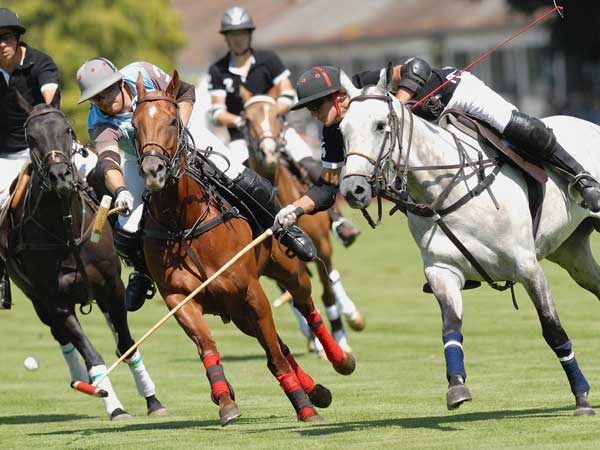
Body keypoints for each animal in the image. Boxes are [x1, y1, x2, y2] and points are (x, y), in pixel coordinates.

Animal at [6, 92, 166, 422]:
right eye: (31, 137)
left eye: (67, 130)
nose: (61, 176)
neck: (66, 229)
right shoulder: (56, 301)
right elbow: (91, 353)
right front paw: (113, 404)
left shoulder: (111, 287)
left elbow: (127, 345)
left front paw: (152, 400)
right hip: (35, 298)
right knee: (61, 336)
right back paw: (82, 378)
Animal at [240, 87, 366, 356]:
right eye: (246, 120)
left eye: (278, 116)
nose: (268, 154)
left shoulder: (321, 246)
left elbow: (328, 293)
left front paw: (341, 340)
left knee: (331, 280)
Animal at [340, 68, 600, 416]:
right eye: (342, 130)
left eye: (380, 125)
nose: (353, 190)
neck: (446, 190)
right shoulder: (442, 271)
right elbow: (450, 327)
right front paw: (457, 387)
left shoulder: (528, 268)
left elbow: (553, 330)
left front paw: (582, 397)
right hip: (573, 254)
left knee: (525, 127)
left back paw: (587, 186)